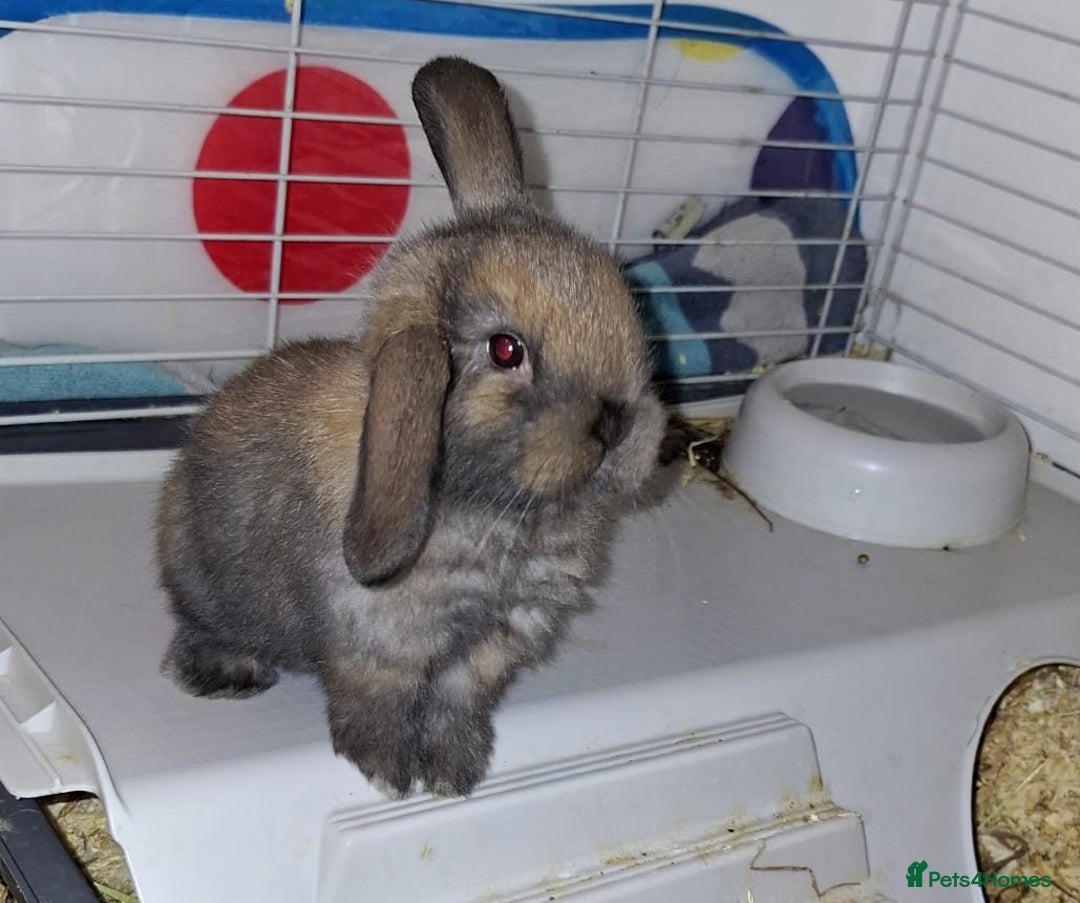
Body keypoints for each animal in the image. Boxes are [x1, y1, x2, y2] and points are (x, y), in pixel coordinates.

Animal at [155, 56, 666, 799]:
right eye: (506, 350)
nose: (617, 421)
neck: (488, 511)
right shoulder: (376, 647)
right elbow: (380, 704)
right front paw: (390, 774)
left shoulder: (485, 649)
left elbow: (457, 702)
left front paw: (455, 772)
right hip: (201, 583)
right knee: (201, 626)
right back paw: (224, 673)